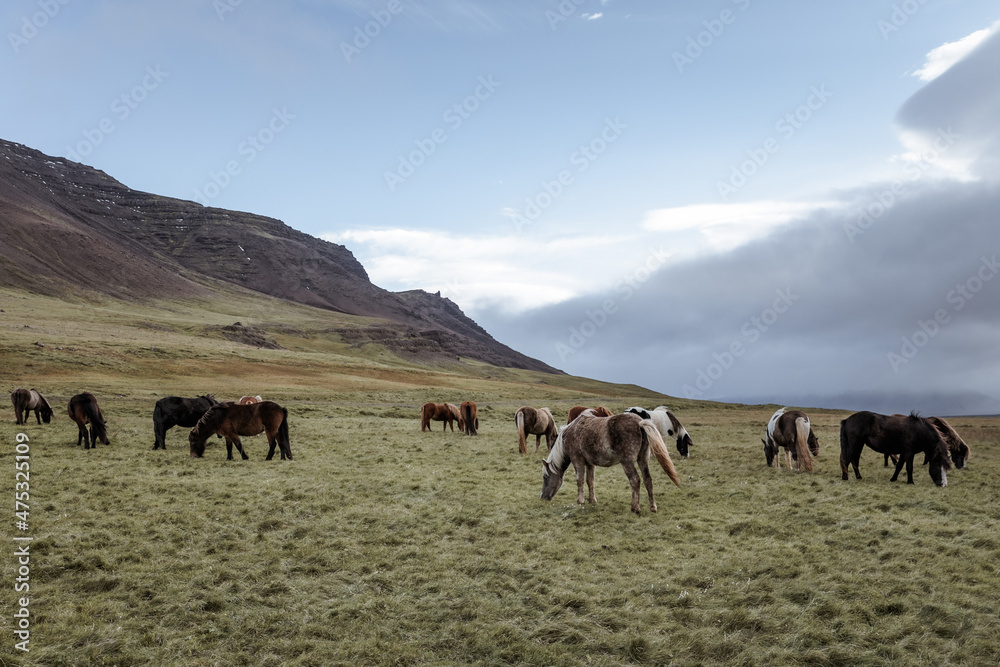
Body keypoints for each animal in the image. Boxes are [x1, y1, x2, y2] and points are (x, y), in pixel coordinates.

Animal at [544, 412, 684, 516]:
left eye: (545, 477)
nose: (543, 497)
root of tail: (640, 423)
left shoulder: (577, 461)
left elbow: (580, 480)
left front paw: (580, 501)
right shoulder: (590, 464)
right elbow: (590, 481)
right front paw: (592, 500)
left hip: (627, 462)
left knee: (635, 480)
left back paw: (635, 508)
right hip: (643, 459)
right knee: (647, 480)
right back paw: (653, 507)